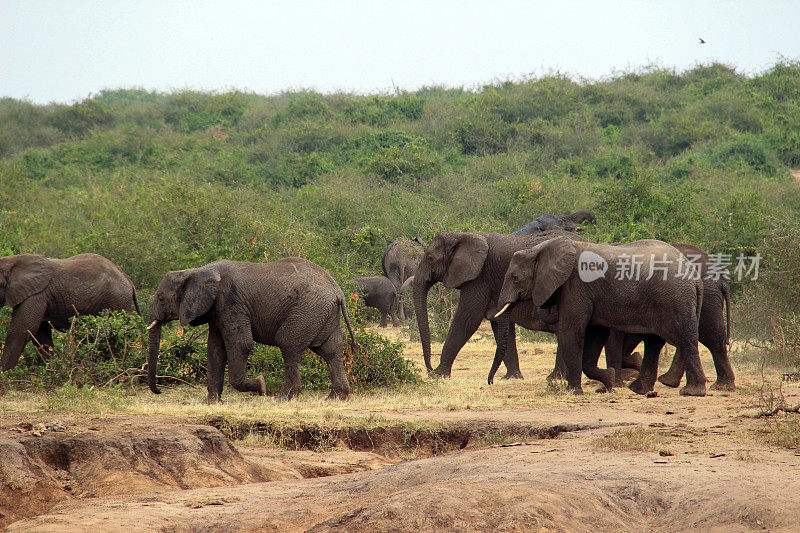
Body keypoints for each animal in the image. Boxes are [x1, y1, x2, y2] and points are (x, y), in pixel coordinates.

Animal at [0, 250, 140, 368]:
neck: (11, 261)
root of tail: (127, 279)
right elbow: (41, 335)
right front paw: (50, 368)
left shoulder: (36, 295)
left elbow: (21, 331)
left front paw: (5, 374)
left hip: (116, 299)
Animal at [147, 256, 354, 402]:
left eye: (161, 299)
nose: (160, 391)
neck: (197, 271)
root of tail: (338, 291)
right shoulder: (217, 310)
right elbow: (215, 349)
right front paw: (213, 403)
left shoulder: (230, 301)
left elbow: (241, 345)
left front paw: (261, 386)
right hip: (323, 312)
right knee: (330, 350)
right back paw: (335, 398)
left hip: (306, 311)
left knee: (289, 345)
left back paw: (283, 398)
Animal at [494, 237, 708, 394]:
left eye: (515, 277)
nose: (490, 382)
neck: (541, 248)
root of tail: (694, 276)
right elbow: (595, 335)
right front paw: (609, 381)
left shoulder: (575, 287)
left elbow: (571, 332)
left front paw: (573, 392)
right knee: (654, 343)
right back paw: (639, 389)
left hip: (674, 299)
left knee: (684, 338)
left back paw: (691, 392)